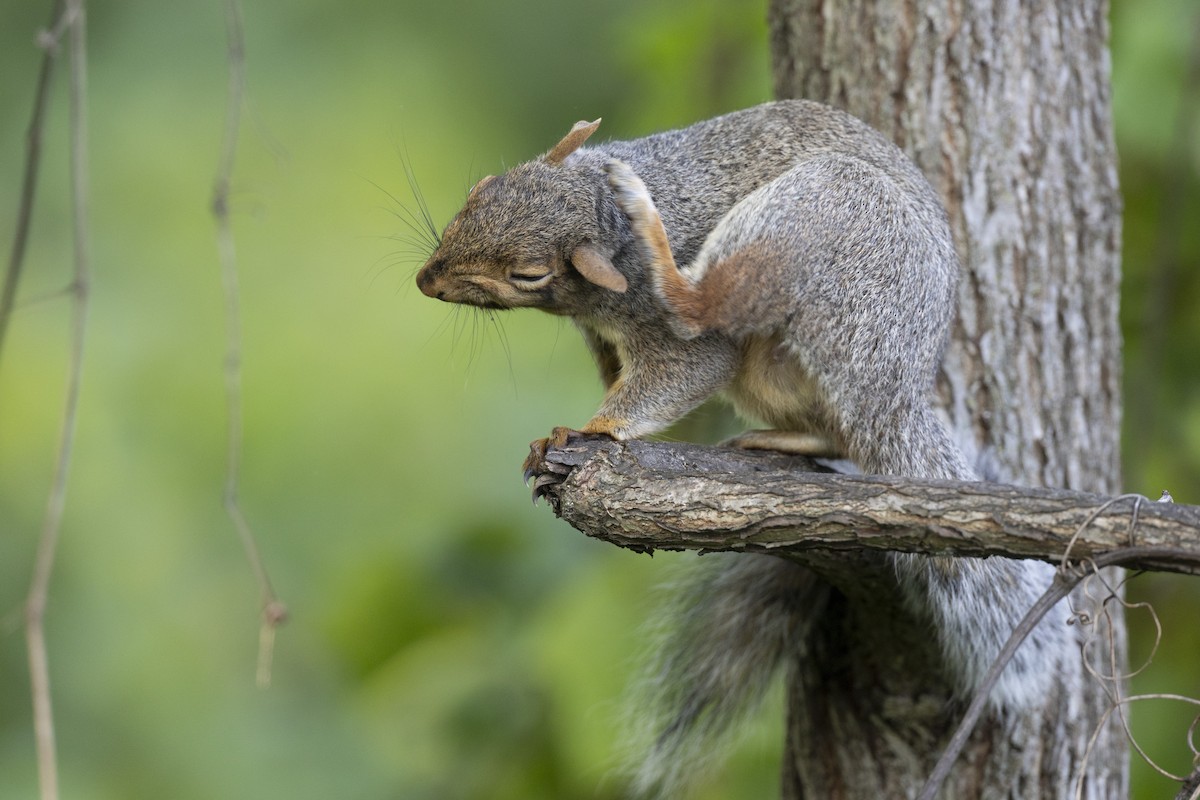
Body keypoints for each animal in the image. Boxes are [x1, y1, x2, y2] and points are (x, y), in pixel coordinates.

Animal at [415, 100, 1071, 796]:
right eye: (481, 189)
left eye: (528, 274)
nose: (426, 281)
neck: (605, 231)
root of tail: (895, 389)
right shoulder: (601, 336)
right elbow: (615, 372)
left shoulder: (665, 330)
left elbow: (677, 372)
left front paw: (594, 429)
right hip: (772, 369)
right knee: (833, 427)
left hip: (830, 218)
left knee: (705, 305)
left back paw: (653, 228)